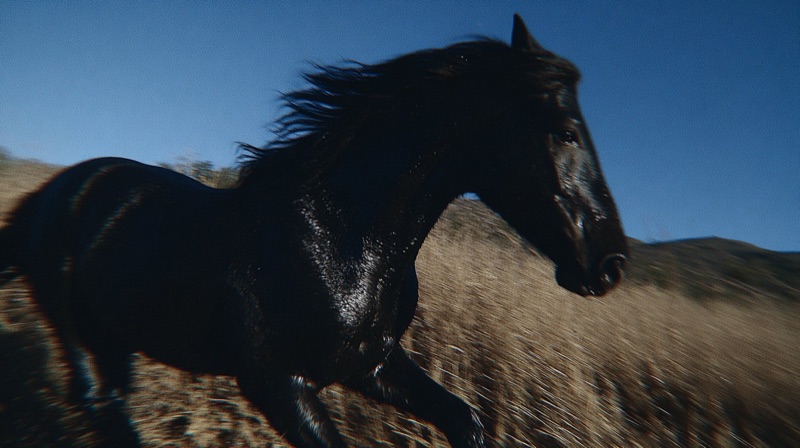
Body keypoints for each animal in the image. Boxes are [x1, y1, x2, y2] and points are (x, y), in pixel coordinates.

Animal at [0, 15, 627, 448]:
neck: (342, 240)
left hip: (118, 336)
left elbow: (466, 420)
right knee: (96, 401)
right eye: (567, 131)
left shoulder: (372, 365)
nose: (611, 263)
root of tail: (48, 195)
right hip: (77, 330)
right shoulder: (279, 384)